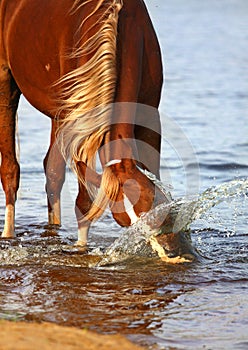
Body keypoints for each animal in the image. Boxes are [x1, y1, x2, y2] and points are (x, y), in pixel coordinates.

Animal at [0, 0, 169, 245]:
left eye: (152, 206)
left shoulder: (149, 118)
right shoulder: (82, 127)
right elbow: (84, 201)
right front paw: (81, 247)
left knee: (53, 173)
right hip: (7, 82)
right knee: (10, 170)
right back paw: (8, 232)